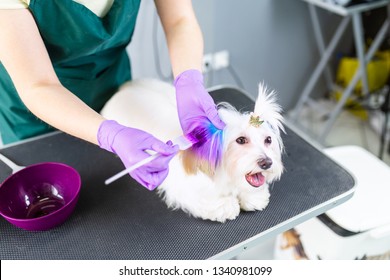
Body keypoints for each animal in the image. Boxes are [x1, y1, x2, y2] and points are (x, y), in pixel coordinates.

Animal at [100, 79, 284, 223]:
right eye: (241, 140)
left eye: (268, 140)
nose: (267, 163)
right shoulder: (184, 188)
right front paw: (225, 205)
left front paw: (254, 196)